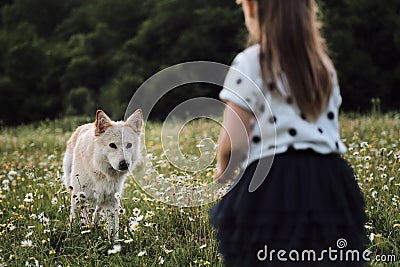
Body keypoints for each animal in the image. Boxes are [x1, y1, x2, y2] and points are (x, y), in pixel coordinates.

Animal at [62, 110, 144, 240]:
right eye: (112, 145)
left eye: (129, 145)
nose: (124, 164)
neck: (100, 171)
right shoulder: (77, 195)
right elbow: (73, 219)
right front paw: (71, 235)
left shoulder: (112, 201)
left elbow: (113, 228)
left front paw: (114, 244)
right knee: (84, 211)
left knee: (97, 210)